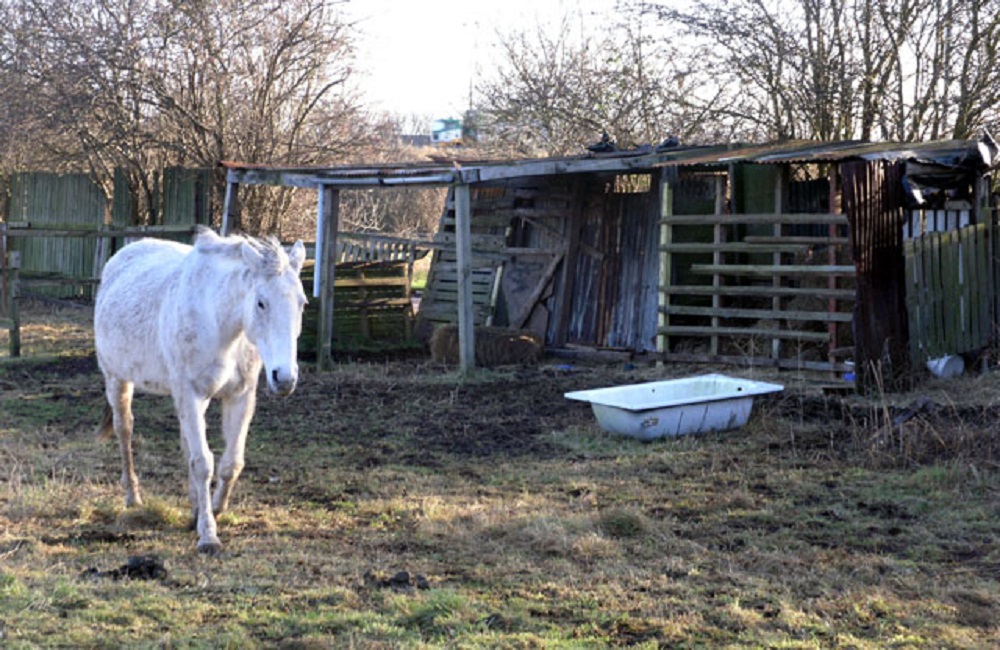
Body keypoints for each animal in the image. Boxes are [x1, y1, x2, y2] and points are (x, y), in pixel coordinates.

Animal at [95, 227, 307, 554]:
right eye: (261, 302)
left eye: (302, 303)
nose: (284, 378)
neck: (220, 323)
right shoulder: (191, 395)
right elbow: (203, 463)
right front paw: (208, 535)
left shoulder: (240, 397)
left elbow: (231, 462)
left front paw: (213, 510)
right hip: (117, 379)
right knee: (125, 430)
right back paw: (133, 497)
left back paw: (194, 505)